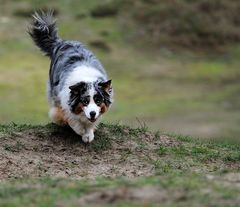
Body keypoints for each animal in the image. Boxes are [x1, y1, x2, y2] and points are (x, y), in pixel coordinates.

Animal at [28, 12, 113, 143]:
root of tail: (62, 42)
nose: (92, 113)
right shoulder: (62, 98)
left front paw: (89, 133)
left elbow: (91, 124)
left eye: (98, 101)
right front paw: (80, 129)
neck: (86, 78)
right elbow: (70, 117)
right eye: (85, 101)